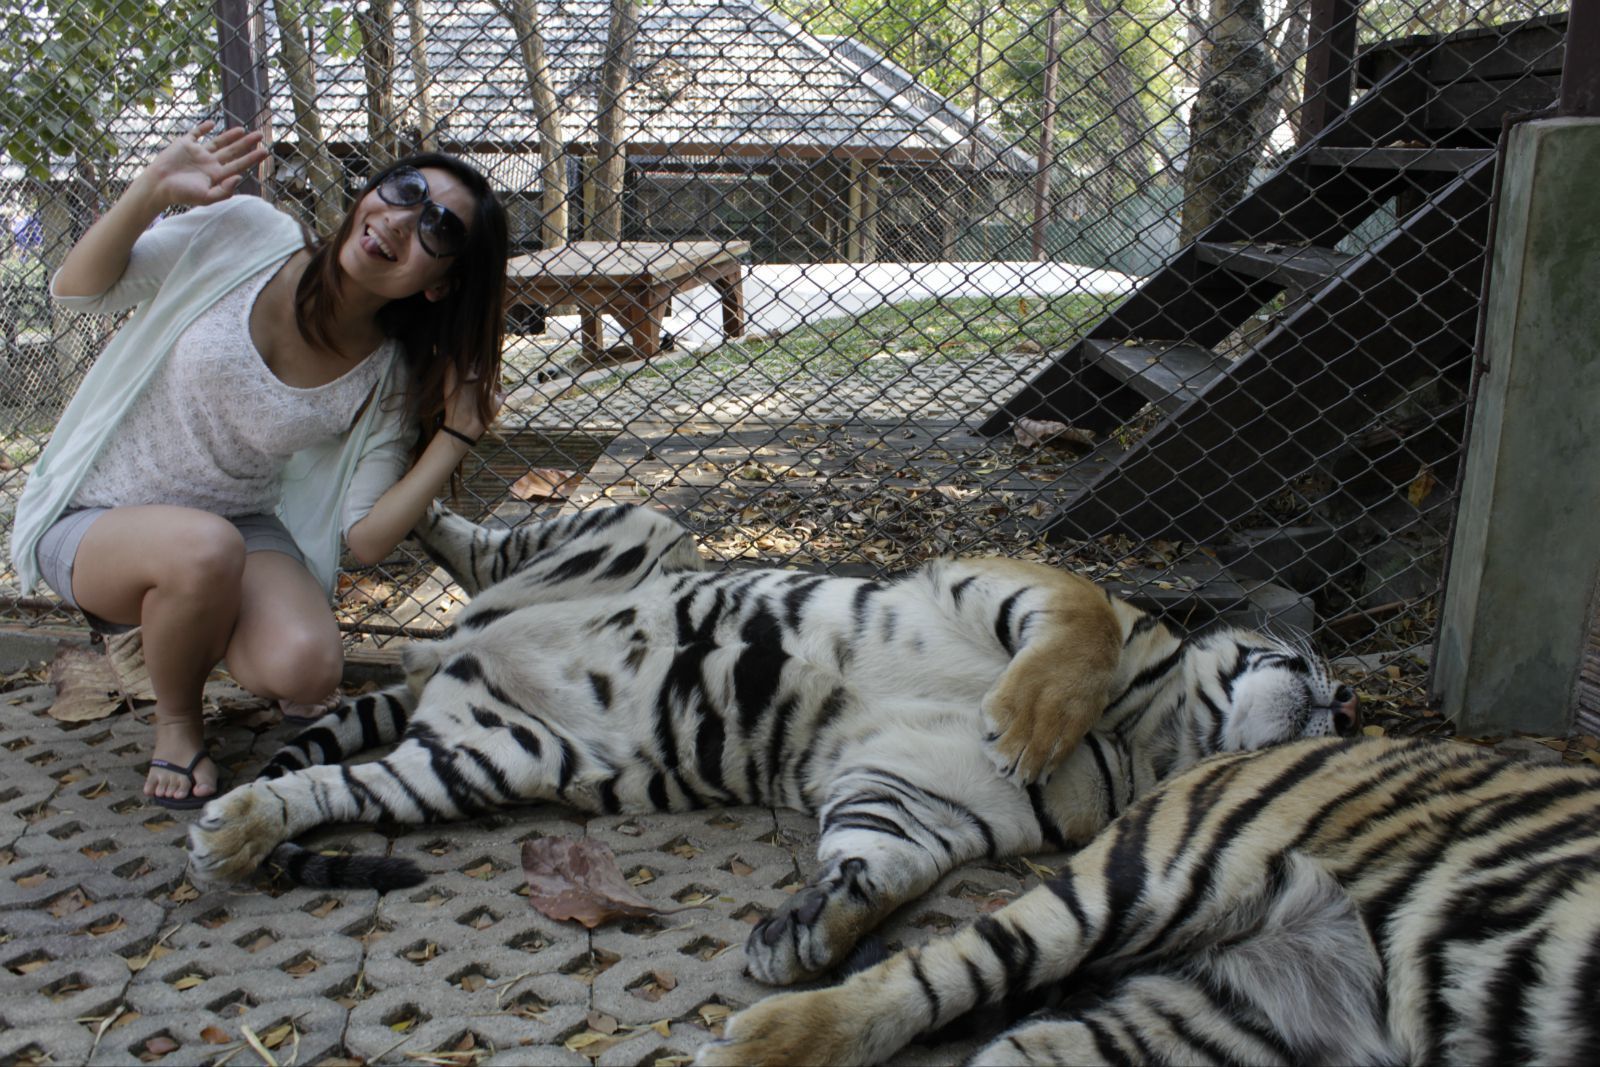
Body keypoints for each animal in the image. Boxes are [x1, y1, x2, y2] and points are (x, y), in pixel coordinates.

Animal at [190, 505, 1363, 991]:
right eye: (1318, 676)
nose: (1343, 702)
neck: (1160, 734)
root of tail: (442, 656)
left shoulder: (917, 794)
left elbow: (883, 862)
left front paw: (811, 931)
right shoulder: (1000, 583)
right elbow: (1081, 620)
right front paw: (1032, 719)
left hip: (475, 760)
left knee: (340, 781)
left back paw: (236, 827)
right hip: (630, 527)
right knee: (489, 545)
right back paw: (417, 510)